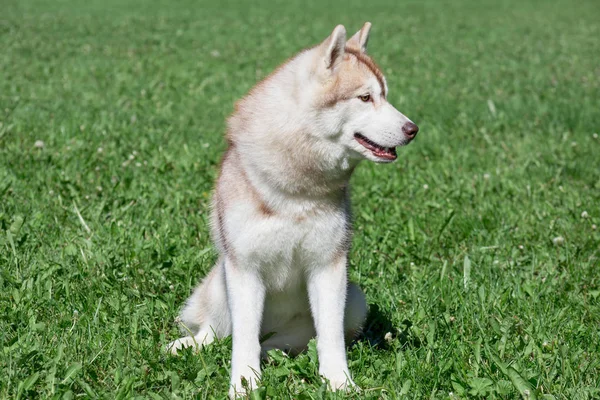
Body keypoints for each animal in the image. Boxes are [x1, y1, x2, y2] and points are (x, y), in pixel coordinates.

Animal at [169, 22, 420, 396]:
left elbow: (330, 336)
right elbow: (243, 339)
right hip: (219, 281)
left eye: (386, 95)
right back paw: (188, 345)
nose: (413, 129)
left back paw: (275, 353)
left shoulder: (329, 267)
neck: (298, 189)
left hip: (355, 300)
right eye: (365, 97)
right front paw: (244, 384)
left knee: (280, 343)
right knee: (218, 332)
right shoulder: (245, 268)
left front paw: (339, 382)